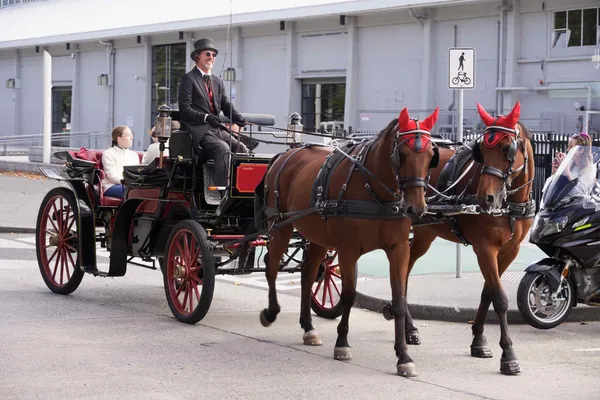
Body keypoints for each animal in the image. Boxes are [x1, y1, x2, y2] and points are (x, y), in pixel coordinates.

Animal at [258, 108, 440, 376]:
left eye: (430, 156)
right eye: (403, 154)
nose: (416, 208)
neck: (375, 191)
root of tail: (286, 154)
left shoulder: (398, 249)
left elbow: (399, 299)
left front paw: (403, 356)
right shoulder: (348, 250)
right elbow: (348, 295)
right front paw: (342, 344)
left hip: (317, 236)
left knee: (308, 275)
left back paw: (308, 328)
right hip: (279, 226)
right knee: (271, 267)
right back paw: (271, 312)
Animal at [404, 100, 536, 376]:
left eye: (507, 149)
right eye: (481, 151)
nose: (485, 198)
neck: (510, 206)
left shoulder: (510, 251)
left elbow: (488, 293)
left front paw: (478, 340)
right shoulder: (485, 249)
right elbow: (500, 298)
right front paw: (508, 355)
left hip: (423, 234)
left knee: (406, 267)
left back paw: (408, 326)